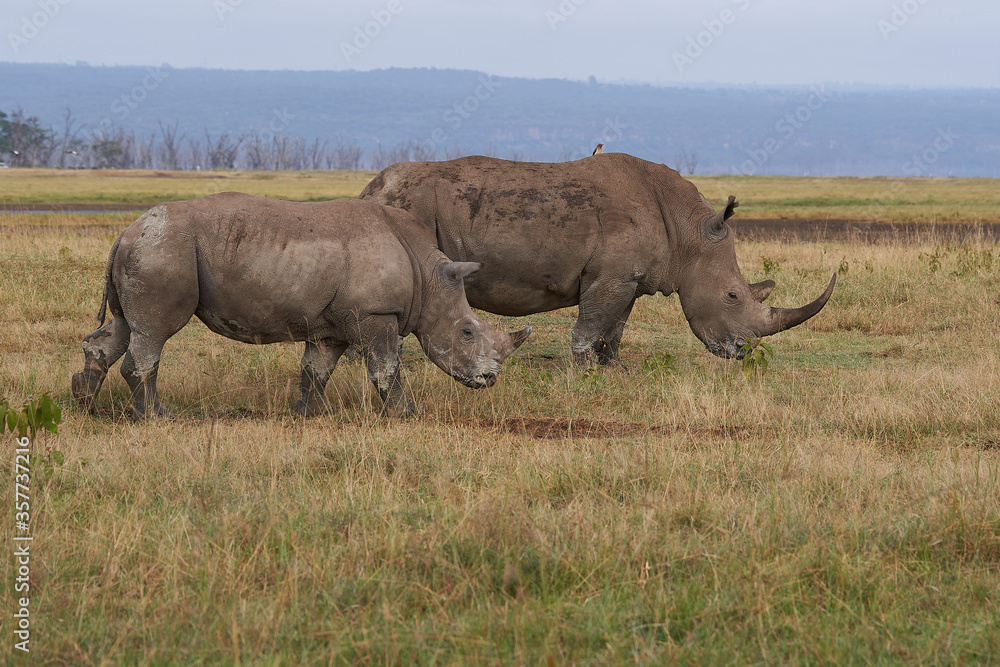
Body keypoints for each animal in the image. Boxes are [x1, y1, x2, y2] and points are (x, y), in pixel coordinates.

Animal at [71, 193, 531, 419]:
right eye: (467, 332)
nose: (489, 379)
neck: (429, 277)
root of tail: (126, 231)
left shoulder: (334, 324)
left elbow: (316, 369)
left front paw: (309, 415)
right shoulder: (376, 314)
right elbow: (386, 368)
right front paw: (409, 415)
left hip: (149, 249)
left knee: (124, 326)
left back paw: (85, 404)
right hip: (164, 249)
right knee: (153, 332)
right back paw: (158, 417)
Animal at [360, 153, 835, 365]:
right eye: (733, 296)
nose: (742, 353)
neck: (688, 233)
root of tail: (372, 188)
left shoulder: (628, 278)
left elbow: (615, 327)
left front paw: (614, 370)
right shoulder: (609, 276)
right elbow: (591, 326)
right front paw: (584, 371)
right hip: (409, 206)